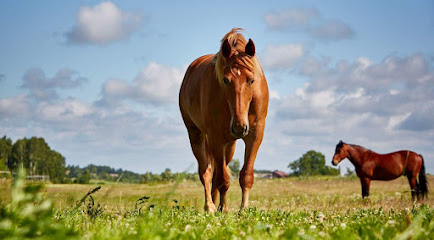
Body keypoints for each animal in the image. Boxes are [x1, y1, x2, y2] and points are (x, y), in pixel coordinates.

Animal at [179, 28, 268, 212]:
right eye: (226, 80)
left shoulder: (255, 136)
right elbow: (222, 179)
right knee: (206, 173)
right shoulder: (216, 139)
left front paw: (243, 209)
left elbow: (246, 175)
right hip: (196, 135)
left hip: (230, 145)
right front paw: (222, 209)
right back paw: (210, 206)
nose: (240, 127)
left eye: (252, 80)